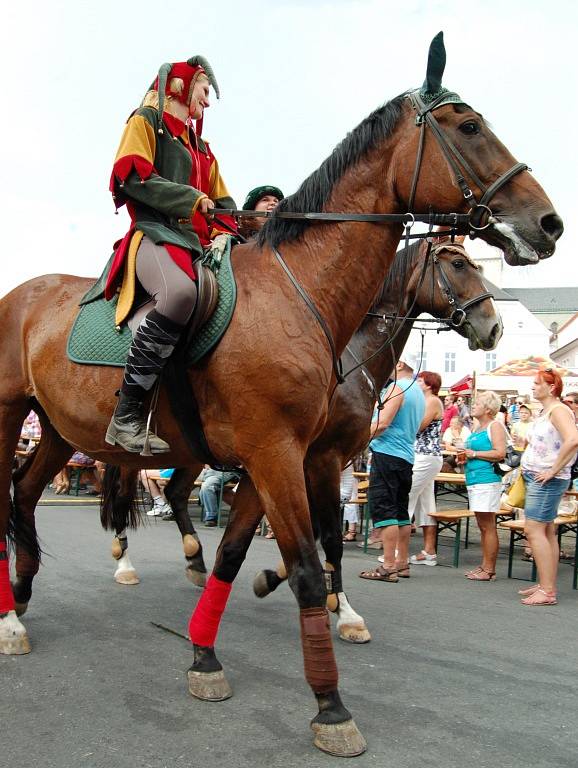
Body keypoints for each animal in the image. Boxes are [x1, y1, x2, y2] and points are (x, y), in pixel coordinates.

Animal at [0, 36, 560, 756]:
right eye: (468, 126)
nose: (547, 222)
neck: (302, 298)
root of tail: (24, 292)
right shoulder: (282, 456)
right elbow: (310, 564)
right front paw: (330, 703)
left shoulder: (280, 459)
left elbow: (242, 554)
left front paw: (205, 654)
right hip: (11, 417)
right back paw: (17, 614)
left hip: (58, 430)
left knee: (29, 495)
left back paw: (24, 597)